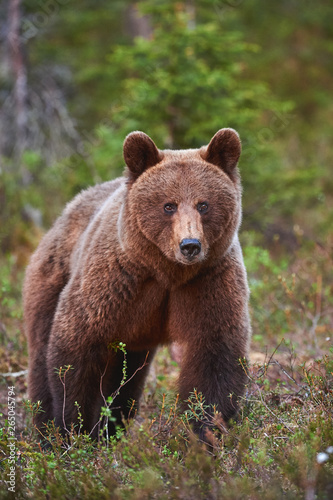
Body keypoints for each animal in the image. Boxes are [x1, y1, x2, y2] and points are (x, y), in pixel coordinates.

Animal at [23, 128, 250, 442]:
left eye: (204, 204)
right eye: (168, 205)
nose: (190, 245)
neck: (167, 272)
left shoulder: (208, 281)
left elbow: (215, 355)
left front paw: (205, 431)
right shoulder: (115, 282)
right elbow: (76, 348)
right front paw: (75, 428)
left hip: (134, 337)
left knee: (126, 379)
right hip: (52, 278)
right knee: (42, 350)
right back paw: (47, 432)